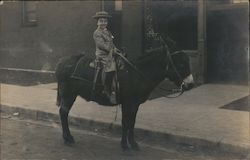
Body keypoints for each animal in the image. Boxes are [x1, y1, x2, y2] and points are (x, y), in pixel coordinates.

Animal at [55, 45, 194, 151]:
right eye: (181, 64)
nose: (191, 84)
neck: (137, 73)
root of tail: (62, 61)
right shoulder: (128, 104)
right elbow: (126, 123)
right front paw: (125, 146)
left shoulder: (135, 105)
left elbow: (131, 123)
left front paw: (133, 144)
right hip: (68, 95)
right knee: (63, 112)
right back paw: (68, 138)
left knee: (64, 113)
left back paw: (67, 138)